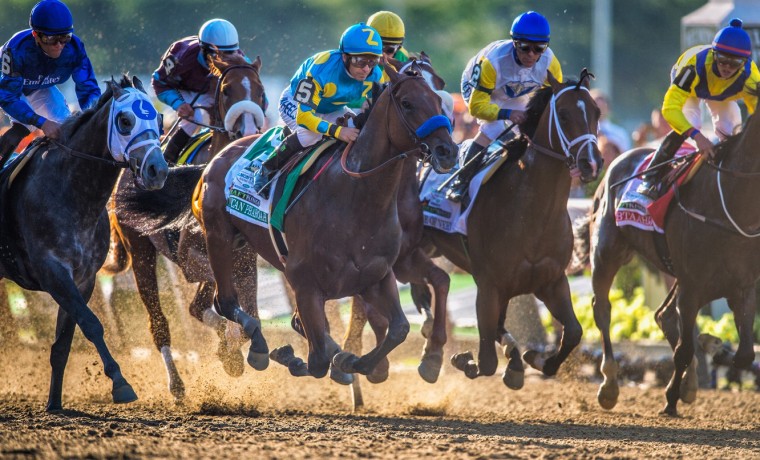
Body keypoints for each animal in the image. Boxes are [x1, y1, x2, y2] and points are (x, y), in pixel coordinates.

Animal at [0, 76, 168, 414]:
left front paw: (54, 403)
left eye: (158, 119)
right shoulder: (53, 271)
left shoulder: (84, 277)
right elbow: (91, 324)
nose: (157, 170)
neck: (73, 192)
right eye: (125, 120)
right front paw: (121, 384)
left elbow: (63, 342)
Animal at [101, 53, 268, 398]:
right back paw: (176, 384)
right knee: (159, 321)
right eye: (227, 91)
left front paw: (232, 351)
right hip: (141, 252)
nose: (248, 132)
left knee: (195, 308)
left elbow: (235, 312)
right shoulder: (194, 257)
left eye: (260, 92)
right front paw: (230, 349)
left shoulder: (244, 257)